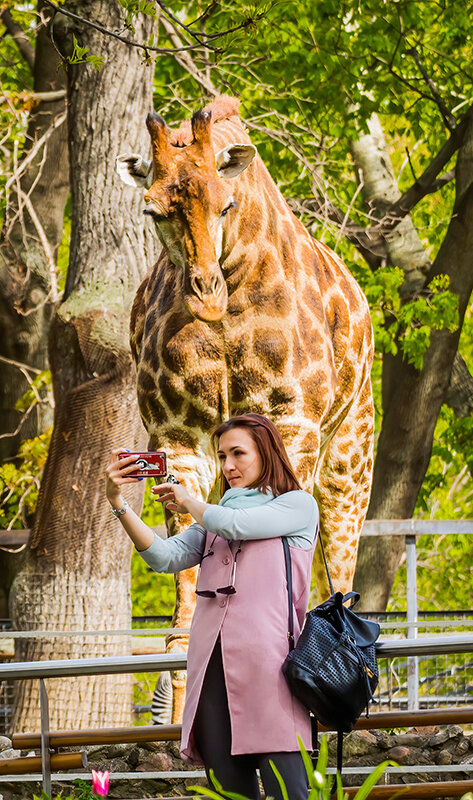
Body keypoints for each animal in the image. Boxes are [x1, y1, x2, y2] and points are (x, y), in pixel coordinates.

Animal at [117, 95, 372, 720]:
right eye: (152, 211)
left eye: (226, 203)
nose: (205, 294)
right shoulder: (179, 437)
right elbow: (185, 598)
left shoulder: (293, 423)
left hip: (350, 456)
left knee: (341, 564)